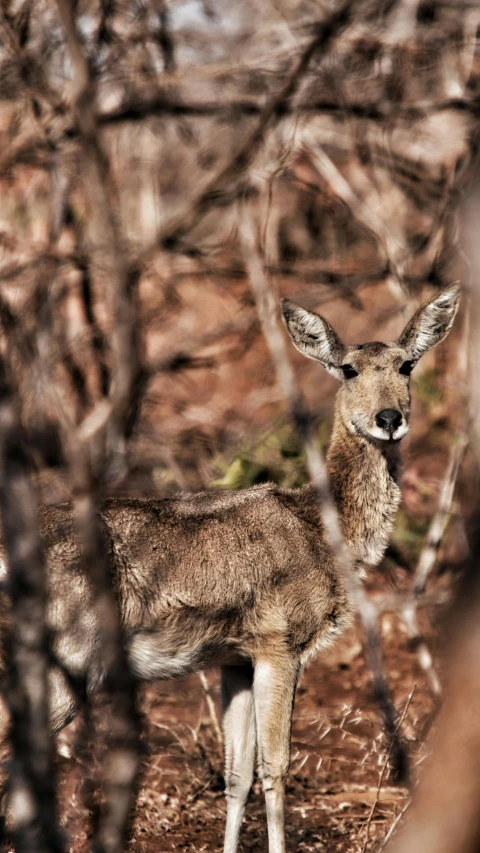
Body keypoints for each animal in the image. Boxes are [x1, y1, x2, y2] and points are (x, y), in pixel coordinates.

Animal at [0, 282, 460, 848]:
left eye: (408, 365)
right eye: (349, 368)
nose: (389, 420)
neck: (324, 530)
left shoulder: (234, 657)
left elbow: (237, 774)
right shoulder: (281, 641)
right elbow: (275, 766)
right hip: (69, 653)